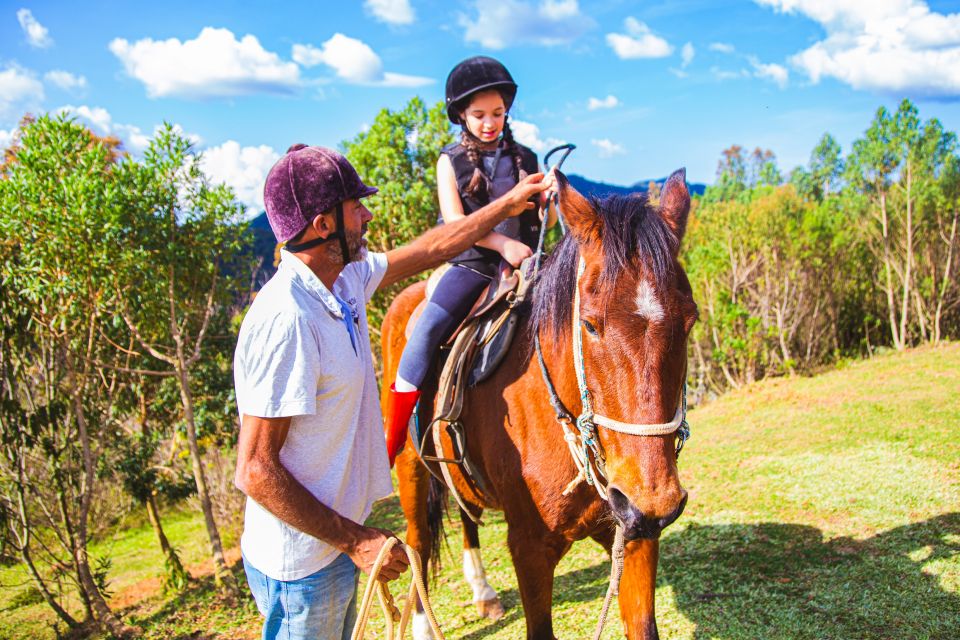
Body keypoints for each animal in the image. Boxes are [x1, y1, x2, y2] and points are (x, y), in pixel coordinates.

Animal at [380, 171, 696, 640]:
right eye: (589, 324)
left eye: (689, 321)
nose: (655, 500)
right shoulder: (529, 546)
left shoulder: (635, 533)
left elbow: (642, 623)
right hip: (409, 466)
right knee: (417, 540)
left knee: (466, 512)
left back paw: (483, 592)